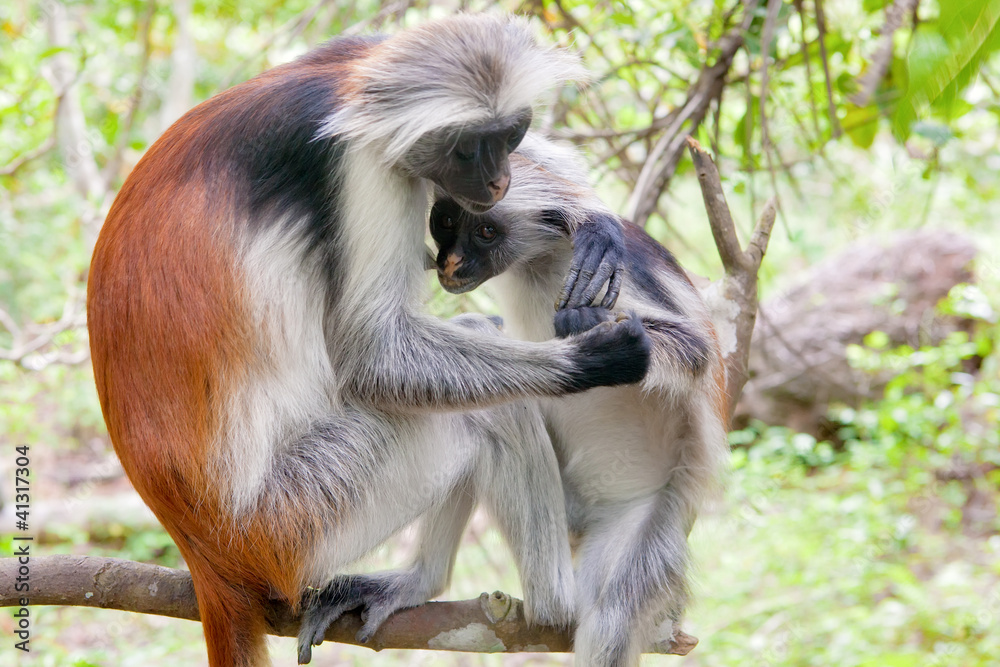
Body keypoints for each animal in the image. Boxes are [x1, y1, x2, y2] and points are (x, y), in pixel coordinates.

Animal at [86, 17, 652, 667]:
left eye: (511, 136)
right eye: (469, 147)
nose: (499, 180)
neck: (343, 96)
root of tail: (207, 557)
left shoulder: (359, 62)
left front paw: (586, 212)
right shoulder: (360, 166)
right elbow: (371, 356)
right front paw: (593, 360)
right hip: (298, 517)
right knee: (486, 411)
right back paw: (553, 607)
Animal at [428, 133, 728, 664]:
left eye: (485, 231)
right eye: (445, 220)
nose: (450, 262)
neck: (541, 259)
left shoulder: (617, 276)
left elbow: (695, 350)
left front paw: (591, 327)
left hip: (642, 519)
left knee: (611, 615)